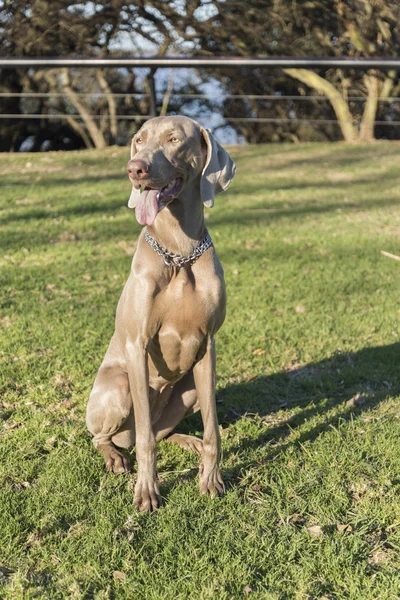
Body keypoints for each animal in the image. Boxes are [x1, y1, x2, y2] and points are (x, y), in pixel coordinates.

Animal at [84, 115, 234, 508]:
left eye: (173, 139)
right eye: (138, 140)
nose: (135, 169)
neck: (179, 253)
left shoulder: (208, 345)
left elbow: (213, 429)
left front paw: (211, 479)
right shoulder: (138, 343)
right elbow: (146, 444)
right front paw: (147, 491)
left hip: (189, 388)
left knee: (157, 430)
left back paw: (188, 441)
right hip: (119, 387)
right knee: (117, 437)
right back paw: (114, 457)